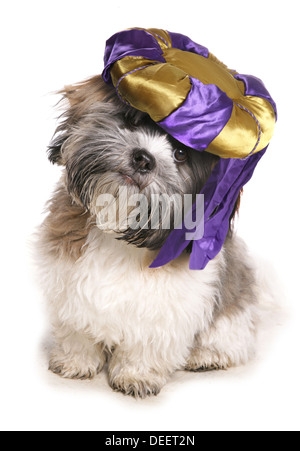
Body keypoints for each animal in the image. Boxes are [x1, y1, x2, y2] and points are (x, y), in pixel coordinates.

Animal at [37, 28, 276, 398]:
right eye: (132, 120)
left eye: (180, 153)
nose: (143, 158)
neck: (121, 227)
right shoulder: (68, 283)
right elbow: (77, 328)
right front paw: (75, 361)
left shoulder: (168, 308)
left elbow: (147, 343)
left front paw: (136, 375)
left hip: (232, 312)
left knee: (231, 337)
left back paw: (207, 356)